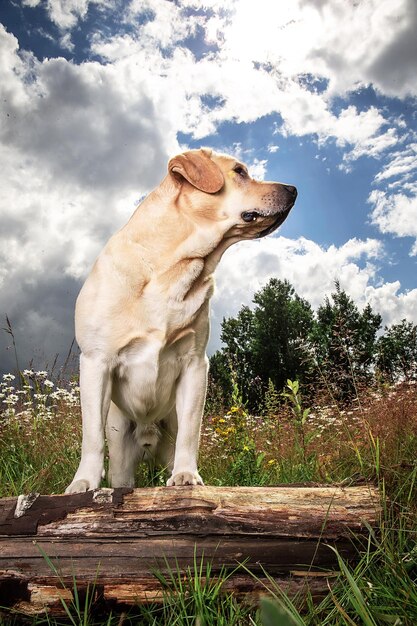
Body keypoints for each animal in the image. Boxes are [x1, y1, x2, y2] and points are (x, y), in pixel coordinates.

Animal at [66, 149, 296, 490]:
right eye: (239, 171)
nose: (293, 189)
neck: (173, 268)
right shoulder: (95, 361)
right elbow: (91, 436)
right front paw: (84, 482)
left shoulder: (194, 364)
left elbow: (191, 430)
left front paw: (187, 474)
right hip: (121, 449)